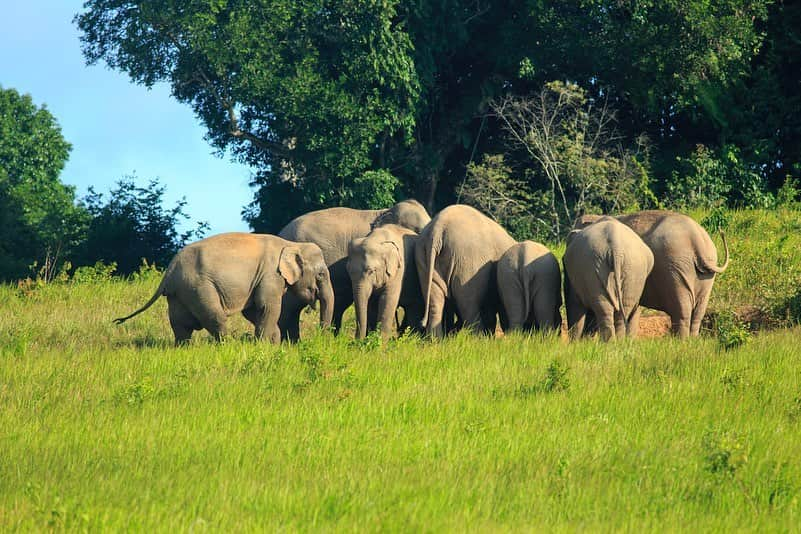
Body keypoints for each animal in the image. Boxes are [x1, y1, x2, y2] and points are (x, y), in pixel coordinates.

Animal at [112, 234, 332, 348]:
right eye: (321, 274)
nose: (321, 337)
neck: (291, 244)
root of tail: (169, 271)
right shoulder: (271, 275)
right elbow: (267, 307)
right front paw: (265, 345)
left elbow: (252, 310)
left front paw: (273, 343)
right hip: (199, 288)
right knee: (215, 317)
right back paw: (228, 345)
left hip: (179, 294)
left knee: (180, 324)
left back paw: (183, 349)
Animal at [416, 205, 516, 340]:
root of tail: (438, 228)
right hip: (467, 263)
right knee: (469, 304)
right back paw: (477, 339)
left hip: (424, 258)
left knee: (435, 300)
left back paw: (435, 341)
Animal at [572, 210, 728, 340]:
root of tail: (697, 241)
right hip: (704, 273)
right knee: (697, 312)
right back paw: (691, 341)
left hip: (675, 268)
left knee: (682, 309)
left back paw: (681, 342)